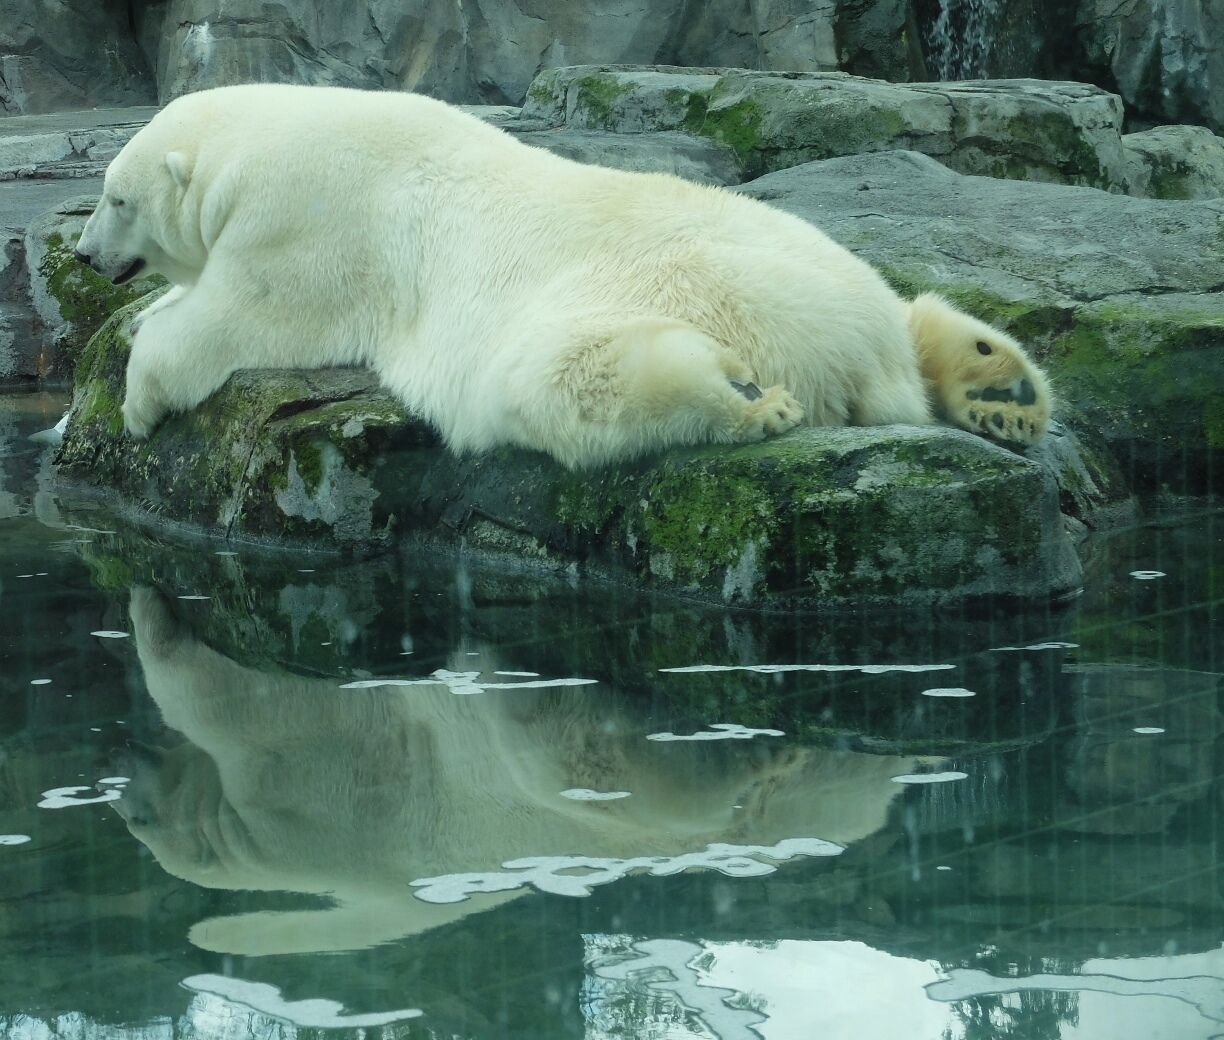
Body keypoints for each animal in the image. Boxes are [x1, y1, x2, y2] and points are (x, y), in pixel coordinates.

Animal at [73, 83, 1051, 469]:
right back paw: (995, 383)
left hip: (670, 290)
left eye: (115, 197)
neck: (252, 144)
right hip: (820, 263)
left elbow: (235, 318)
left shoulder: (307, 222)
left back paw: (744, 398)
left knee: (558, 378)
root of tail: (861, 356)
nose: (82, 254)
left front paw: (137, 400)